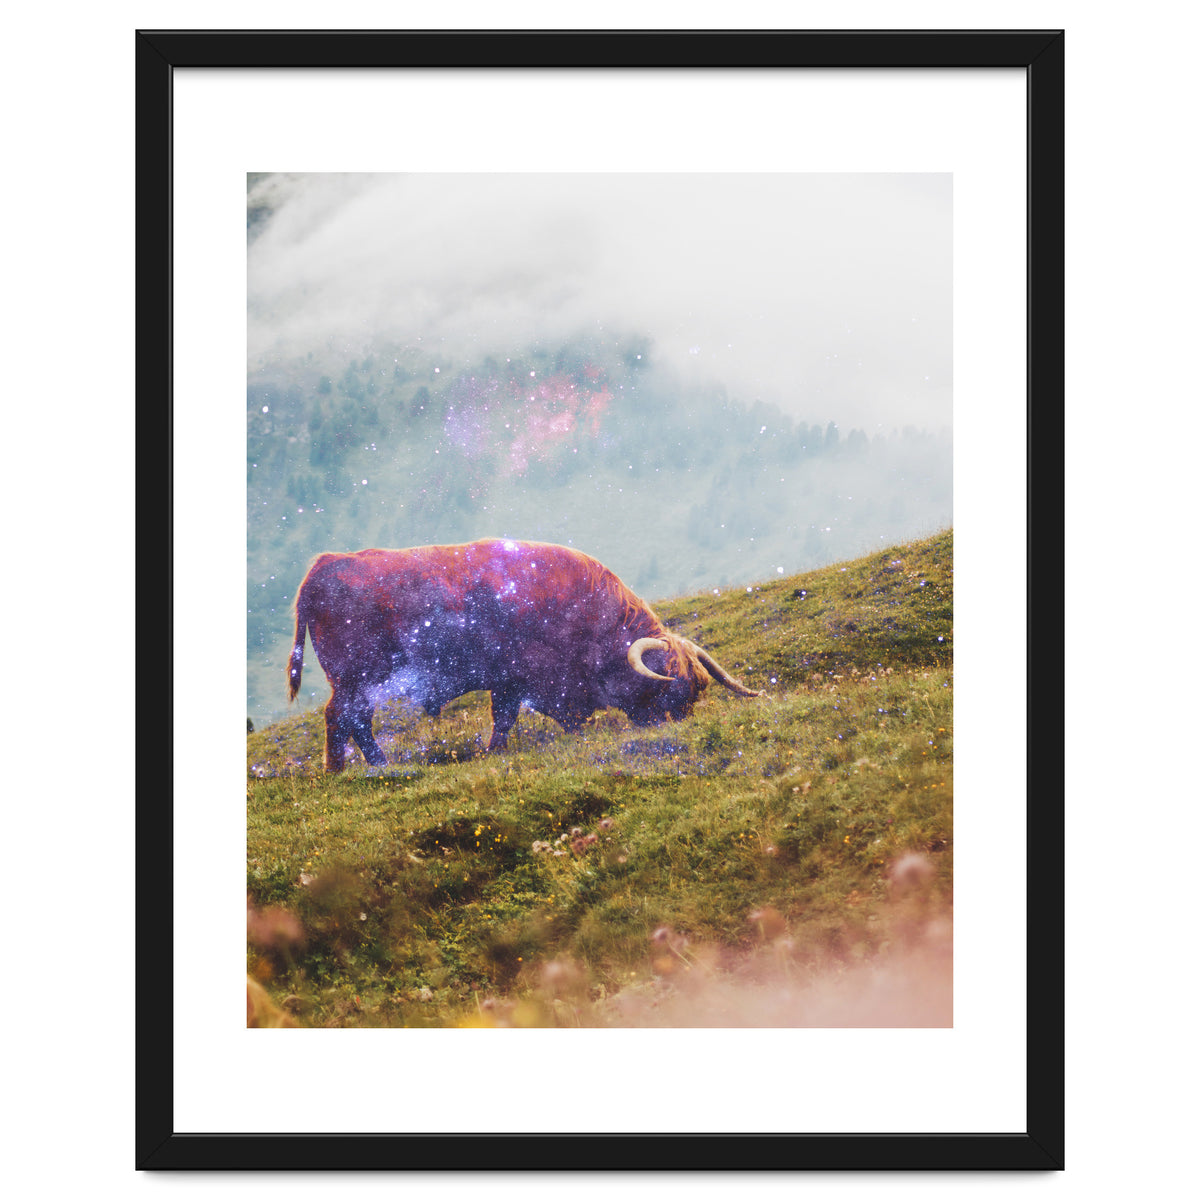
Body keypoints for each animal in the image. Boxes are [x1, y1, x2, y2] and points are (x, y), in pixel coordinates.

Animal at [287, 538, 762, 772]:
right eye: (669, 688)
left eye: (696, 689)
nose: (678, 727)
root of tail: (324, 565)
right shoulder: (525, 676)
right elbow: (512, 717)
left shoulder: (510, 682)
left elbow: (506, 717)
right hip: (357, 679)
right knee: (345, 718)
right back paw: (361, 767)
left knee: (350, 720)